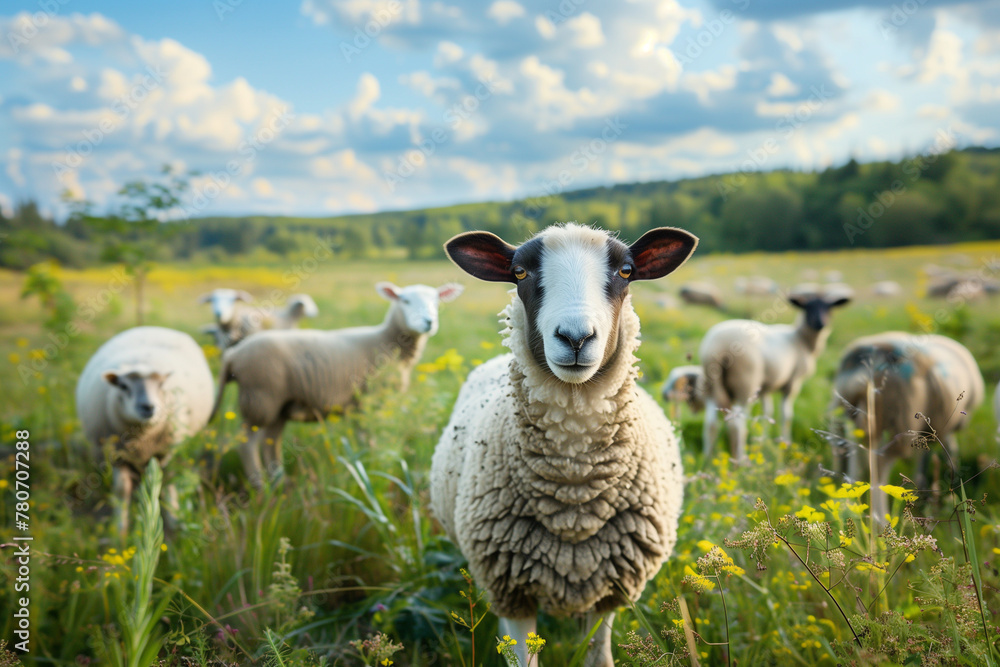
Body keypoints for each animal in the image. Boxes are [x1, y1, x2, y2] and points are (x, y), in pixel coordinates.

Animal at [75, 326, 215, 534]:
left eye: (161, 384)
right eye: (123, 386)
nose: (148, 407)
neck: (142, 437)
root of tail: (154, 327)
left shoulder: (165, 451)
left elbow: (162, 483)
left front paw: (172, 521)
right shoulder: (115, 454)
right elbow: (122, 489)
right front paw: (120, 529)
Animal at [212, 282, 462, 487]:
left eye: (437, 301)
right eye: (405, 300)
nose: (429, 322)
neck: (388, 341)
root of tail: (234, 354)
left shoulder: (361, 406)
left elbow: (364, 439)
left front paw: (365, 464)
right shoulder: (370, 402)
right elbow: (369, 439)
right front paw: (369, 465)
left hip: (279, 406)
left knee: (270, 442)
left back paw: (279, 482)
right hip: (260, 398)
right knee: (247, 443)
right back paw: (260, 486)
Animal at [430, 223, 697, 667]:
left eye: (626, 270)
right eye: (519, 272)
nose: (575, 337)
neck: (574, 490)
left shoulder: (612, 588)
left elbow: (598, 654)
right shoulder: (510, 590)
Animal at [700, 283, 852, 461]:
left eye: (829, 307)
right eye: (807, 307)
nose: (821, 323)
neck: (801, 339)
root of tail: (718, 348)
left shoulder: (765, 387)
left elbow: (768, 412)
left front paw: (763, 442)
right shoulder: (793, 382)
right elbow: (786, 415)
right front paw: (785, 444)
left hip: (711, 385)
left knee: (711, 424)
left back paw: (708, 459)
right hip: (745, 383)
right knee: (737, 424)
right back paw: (741, 460)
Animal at [830, 331, 984, 522]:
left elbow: (925, 457)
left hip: (851, 413)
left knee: (850, 454)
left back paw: (851, 505)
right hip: (901, 419)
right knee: (879, 465)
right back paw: (880, 518)